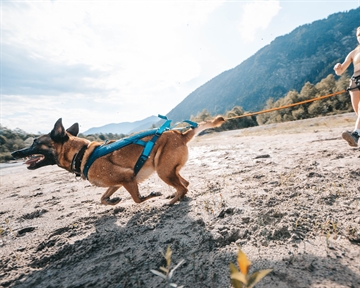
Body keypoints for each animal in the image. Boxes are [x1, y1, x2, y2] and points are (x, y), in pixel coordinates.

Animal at [11, 116, 224, 205]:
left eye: (35, 142)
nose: (14, 153)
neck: (81, 153)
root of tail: (180, 134)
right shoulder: (117, 182)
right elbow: (102, 198)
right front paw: (112, 201)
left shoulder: (127, 178)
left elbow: (137, 199)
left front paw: (150, 195)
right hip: (170, 170)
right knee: (185, 184)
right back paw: (177, 198)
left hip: (163, 171)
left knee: (183, 187)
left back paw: (172, 201)